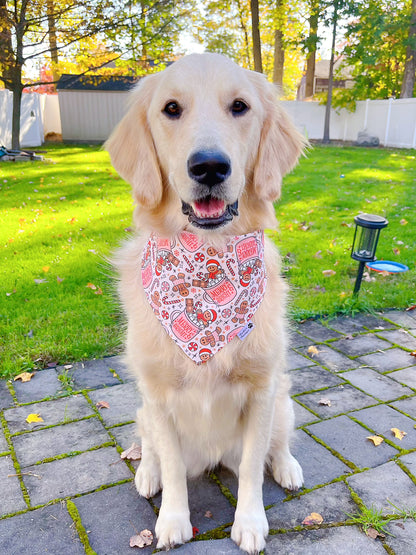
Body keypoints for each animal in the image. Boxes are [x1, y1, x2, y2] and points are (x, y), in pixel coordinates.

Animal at [105, 53, 304, 555]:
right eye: (171, 109)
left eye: (240, 106)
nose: (209, 167)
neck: (208, 264)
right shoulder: (158, 395)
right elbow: (174, 465)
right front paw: (173, 521)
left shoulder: (262, 389)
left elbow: (252, 465)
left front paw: (250, 522)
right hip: (144, 409)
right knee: (150, 447)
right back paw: (147, 473)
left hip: (283, 397)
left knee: (279, 442)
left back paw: (288, 466)